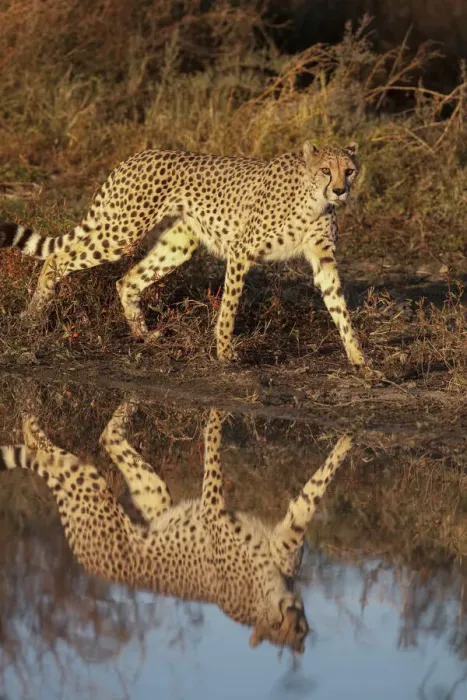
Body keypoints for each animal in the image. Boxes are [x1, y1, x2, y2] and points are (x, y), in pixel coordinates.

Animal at [0, 141, 368, 371]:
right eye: (326, 170)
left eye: (349, 170)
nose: (340, 190)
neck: (313, 198)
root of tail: (135, 157)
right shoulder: (241, 251)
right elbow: (230, 305)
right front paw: (224, 352)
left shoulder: (323, 260)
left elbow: (339, 308)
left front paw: (360, 360)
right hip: (121, 231)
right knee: (57, 259)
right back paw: (33, 316)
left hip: (178, 243)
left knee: (127, 280)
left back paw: (143, 335)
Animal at [0, 400, 353, 654]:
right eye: (285, 629)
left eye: (297, 633)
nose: (300, 629)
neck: (265, 598)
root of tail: (84, 557)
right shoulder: (214, 509)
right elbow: (214, 449)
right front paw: (216, 415)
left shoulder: (283, 540)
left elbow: (310, 494)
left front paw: (347, 440)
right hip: (90, 485)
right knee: (55, 454)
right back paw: (33, 426)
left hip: (154, 496)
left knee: (104, 439)